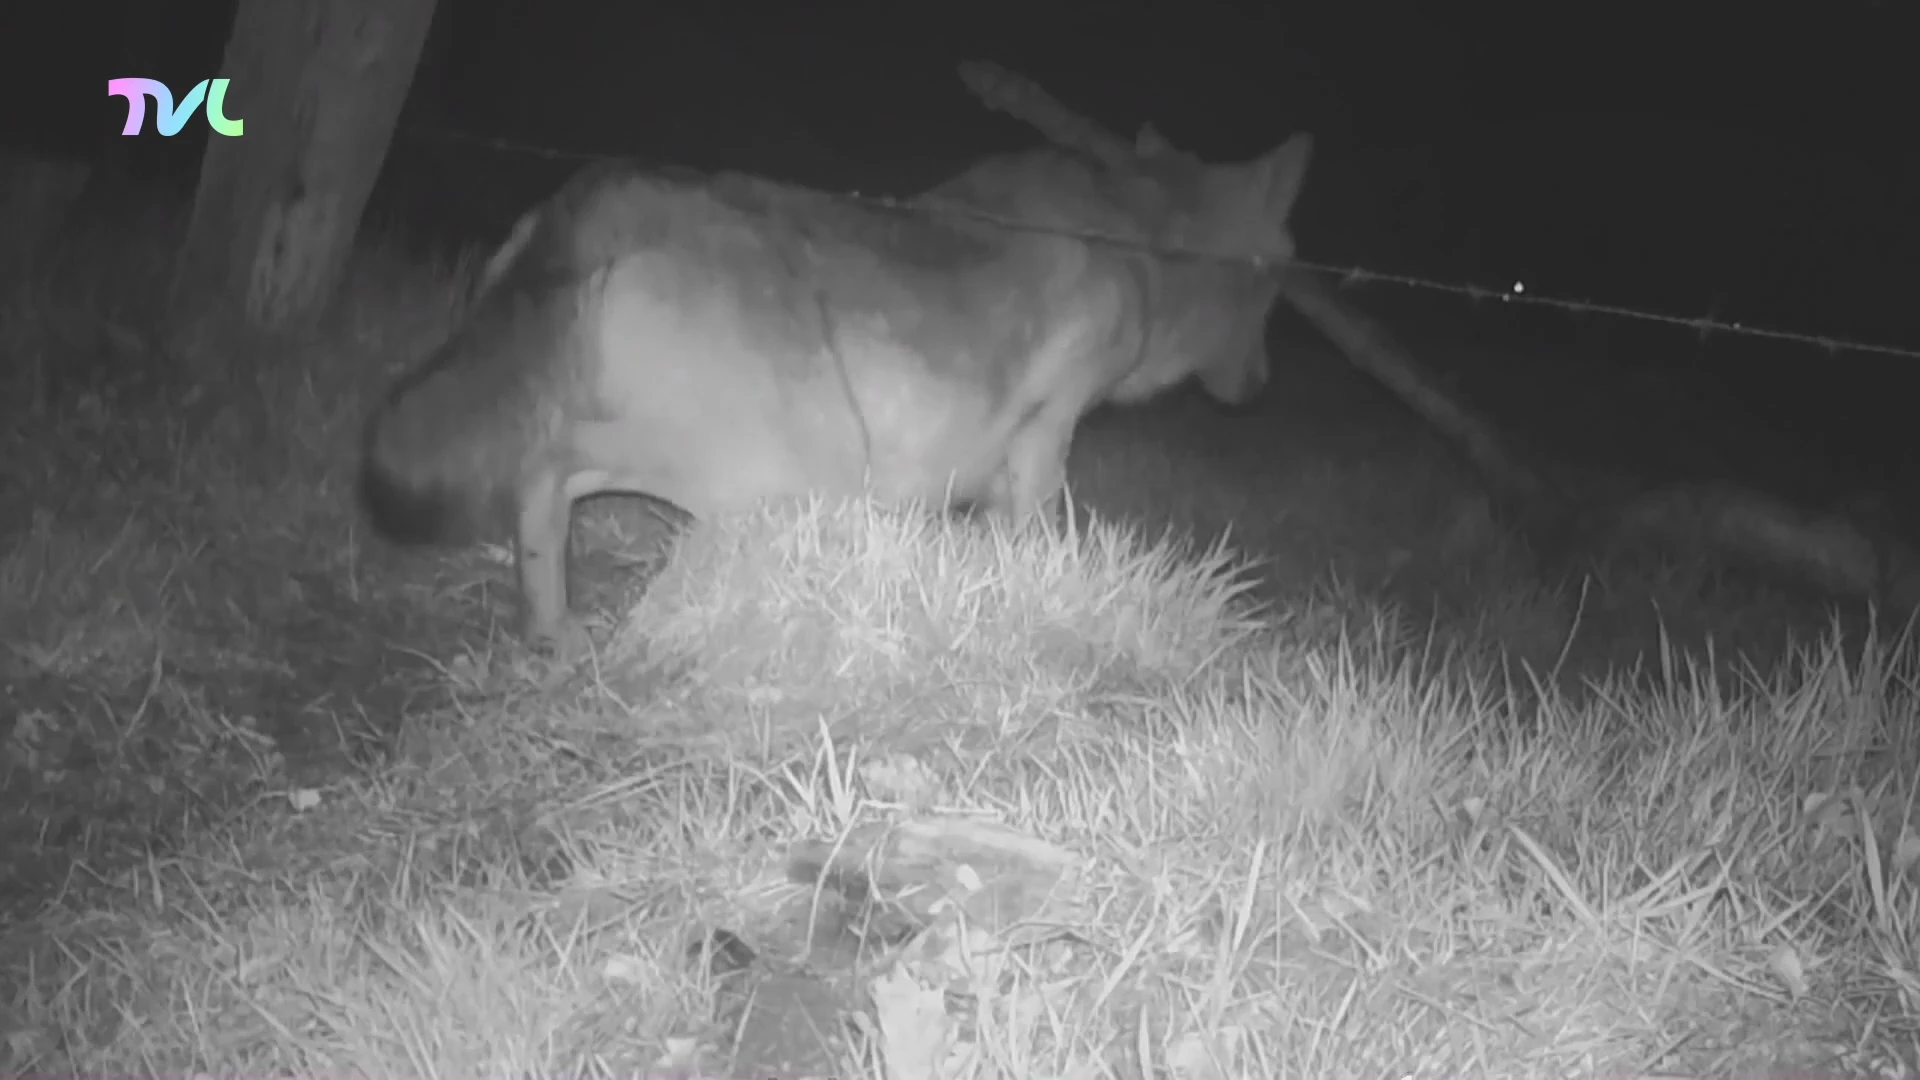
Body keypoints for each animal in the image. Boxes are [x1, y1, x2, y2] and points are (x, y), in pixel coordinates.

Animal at [359, 96, 1314, 652]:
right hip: (791, 464)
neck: (1145, 239)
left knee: (539, 493)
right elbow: (1042, 525)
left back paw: (549, 629)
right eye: (1280, 282)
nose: (1265, 386)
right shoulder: (1051, 421)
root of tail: (581, 208)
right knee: (551, 480)